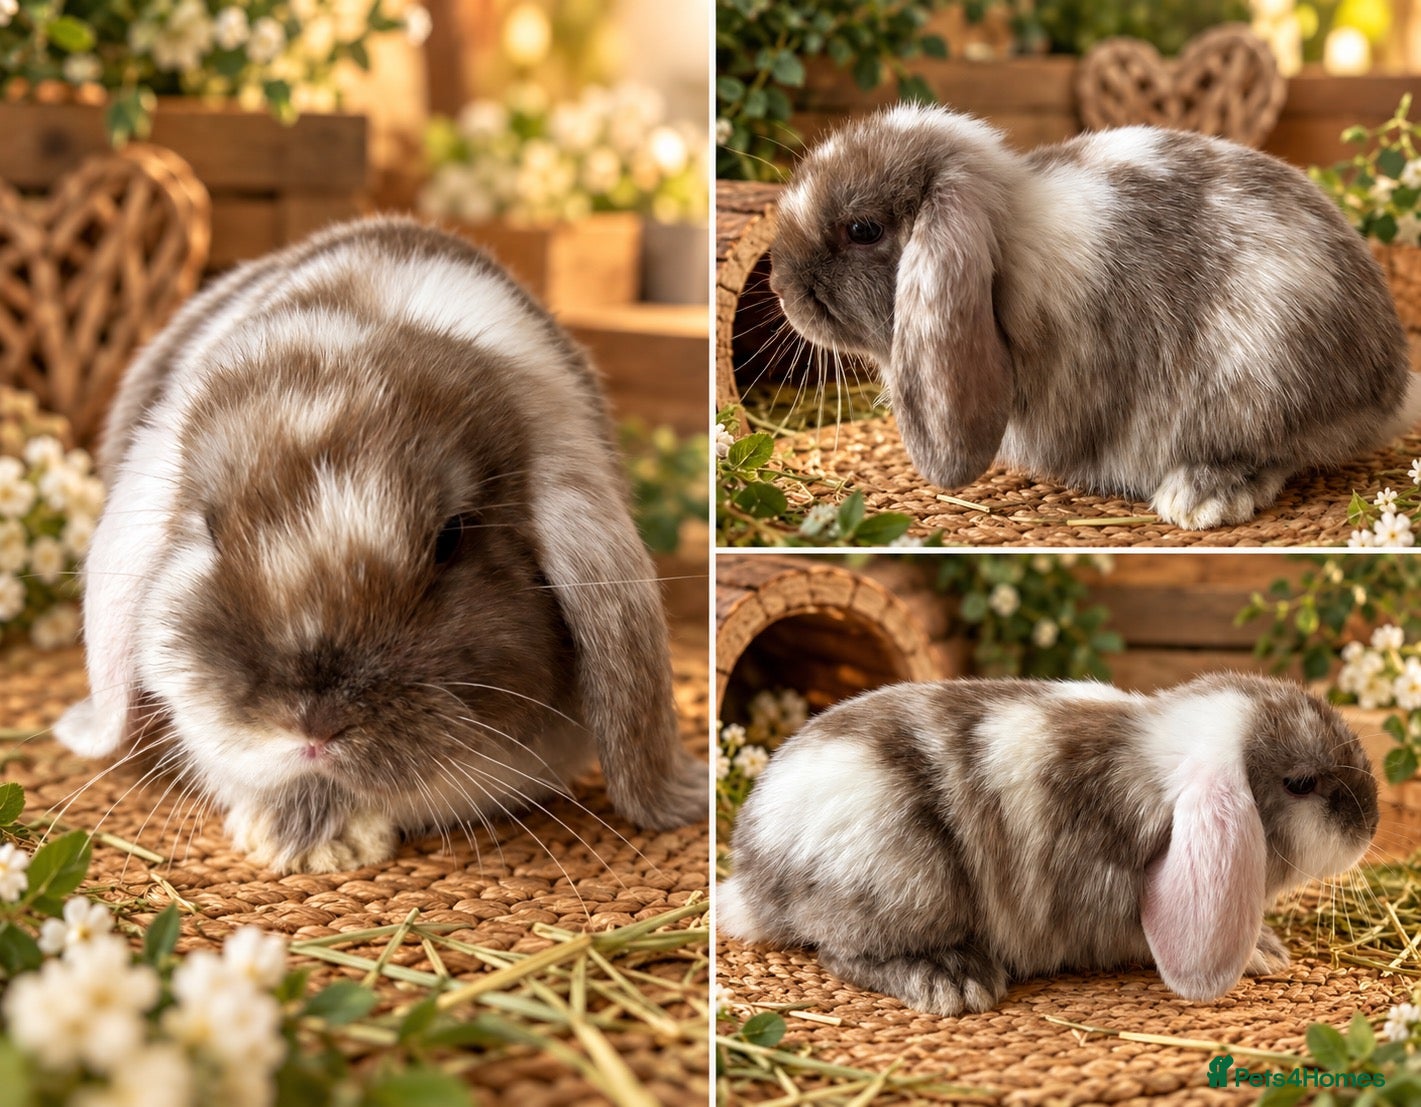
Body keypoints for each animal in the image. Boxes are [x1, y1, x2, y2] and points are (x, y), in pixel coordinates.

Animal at [718, 673, 1378, 1015]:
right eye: (1301, 784)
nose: (1371, 824)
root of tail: (753, 880)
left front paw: (1267, 947)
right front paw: (1260, 955)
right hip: (906, 880)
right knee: (842, 952)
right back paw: (953, 980)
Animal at [769, 103, 1420, 530]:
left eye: (863, 229)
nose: (778, 284)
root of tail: (1388, 384)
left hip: (1256, 385)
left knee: (1276, 454)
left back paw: (1199, 498)